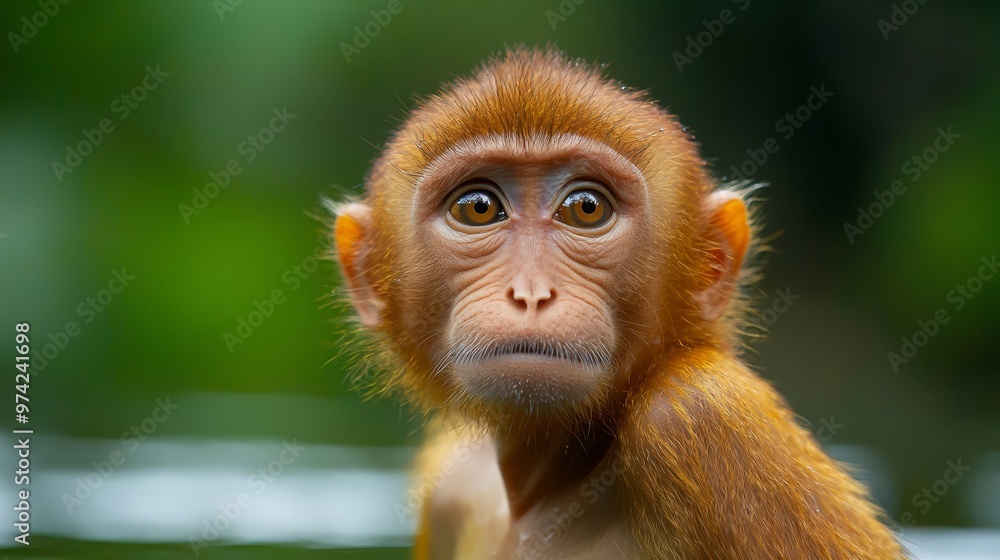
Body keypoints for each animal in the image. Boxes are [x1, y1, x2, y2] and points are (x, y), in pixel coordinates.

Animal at [329, 47, 906, 559]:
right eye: (478, 208)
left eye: (586, 208)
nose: (531, 293)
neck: (552, 486)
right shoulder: (454, 489)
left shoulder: (703, 412)